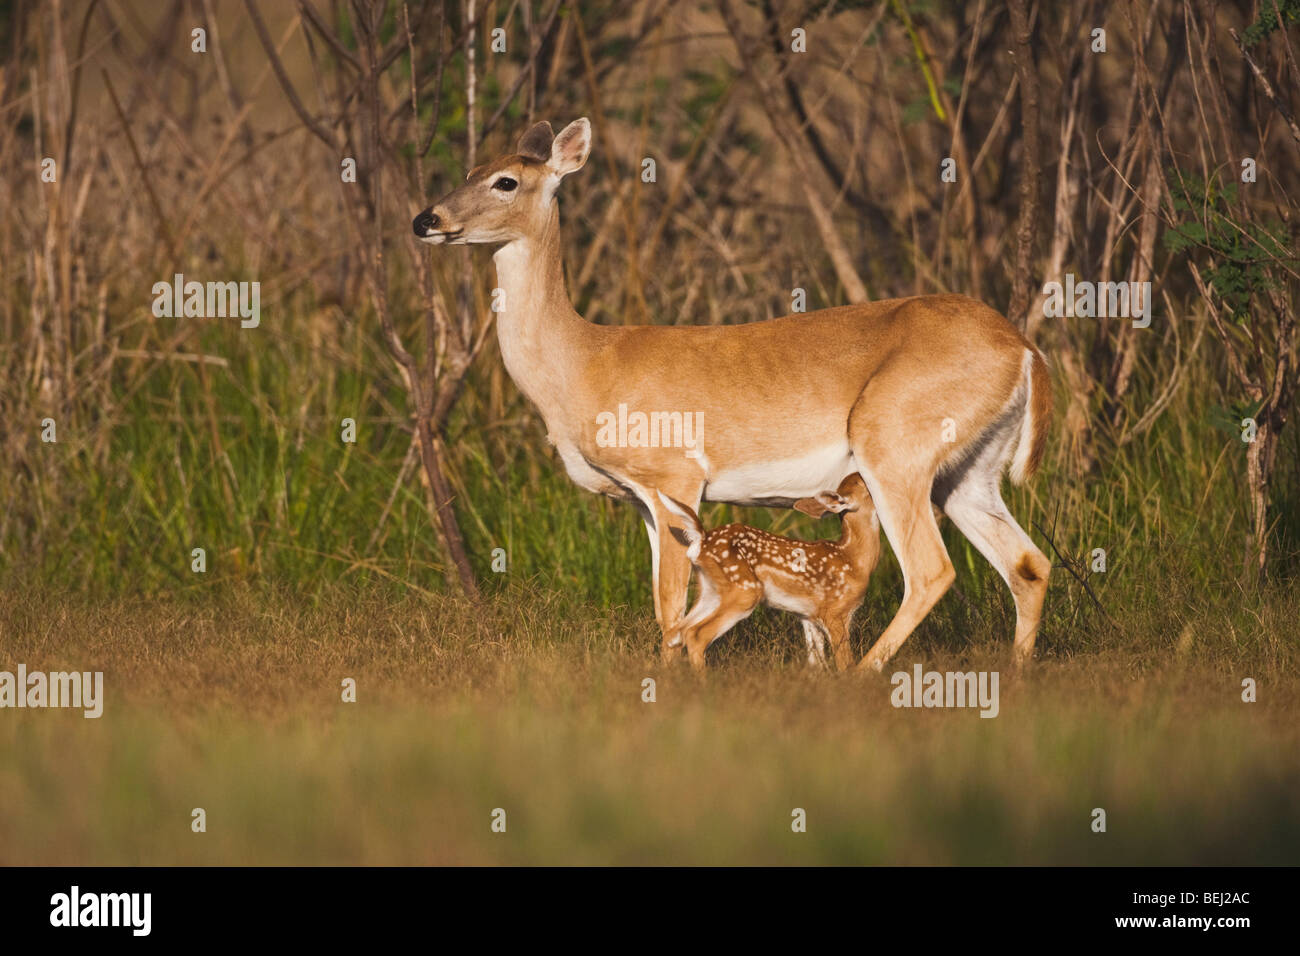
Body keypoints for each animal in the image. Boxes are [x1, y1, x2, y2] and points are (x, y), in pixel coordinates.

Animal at [656, 474, 881, 671]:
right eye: (864, 483)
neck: (853, 560)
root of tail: (701, 539)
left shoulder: (809, 616)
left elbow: (816, 664)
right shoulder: (835, 611)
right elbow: (846, 664)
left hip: (711, 591)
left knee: (675, 633)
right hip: (744, 591)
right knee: (695, 636)